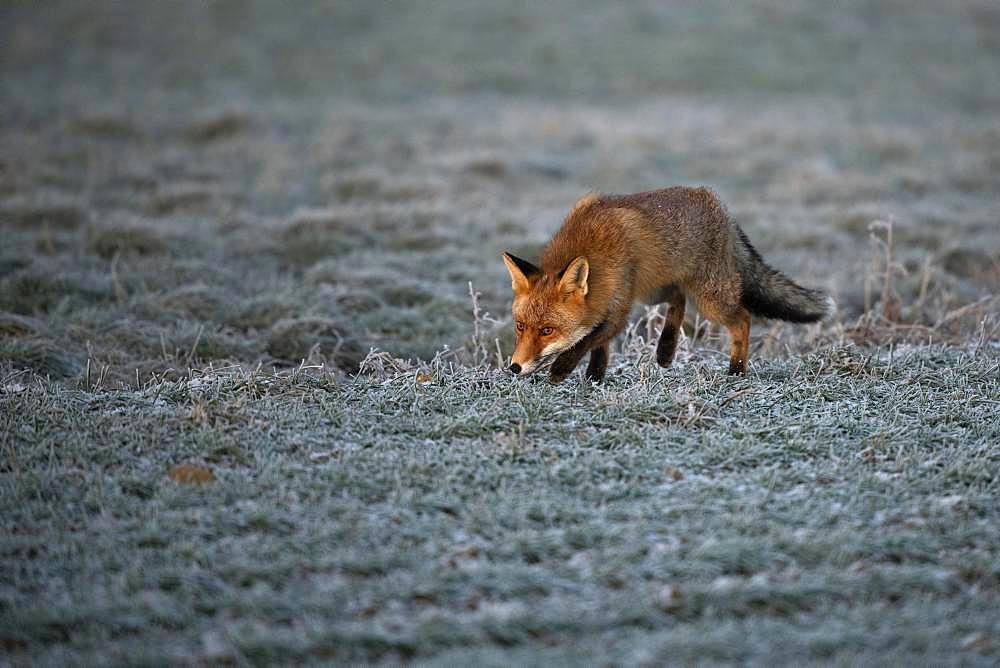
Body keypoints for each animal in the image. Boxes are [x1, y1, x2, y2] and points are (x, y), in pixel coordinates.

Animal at [500, 188, 836, 384]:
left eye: (547, 330)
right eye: (519, 326)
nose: (514, 367)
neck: (592, 248)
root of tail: (720, 207)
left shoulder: (618, 306)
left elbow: (588, 339)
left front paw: (562, 370)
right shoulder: (611, 302)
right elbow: (598, 344)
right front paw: (594, 377)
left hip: (710, 298)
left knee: (742, 318)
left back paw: (736, 370)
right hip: (653, 291)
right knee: (678, 297)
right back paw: (666, 350)